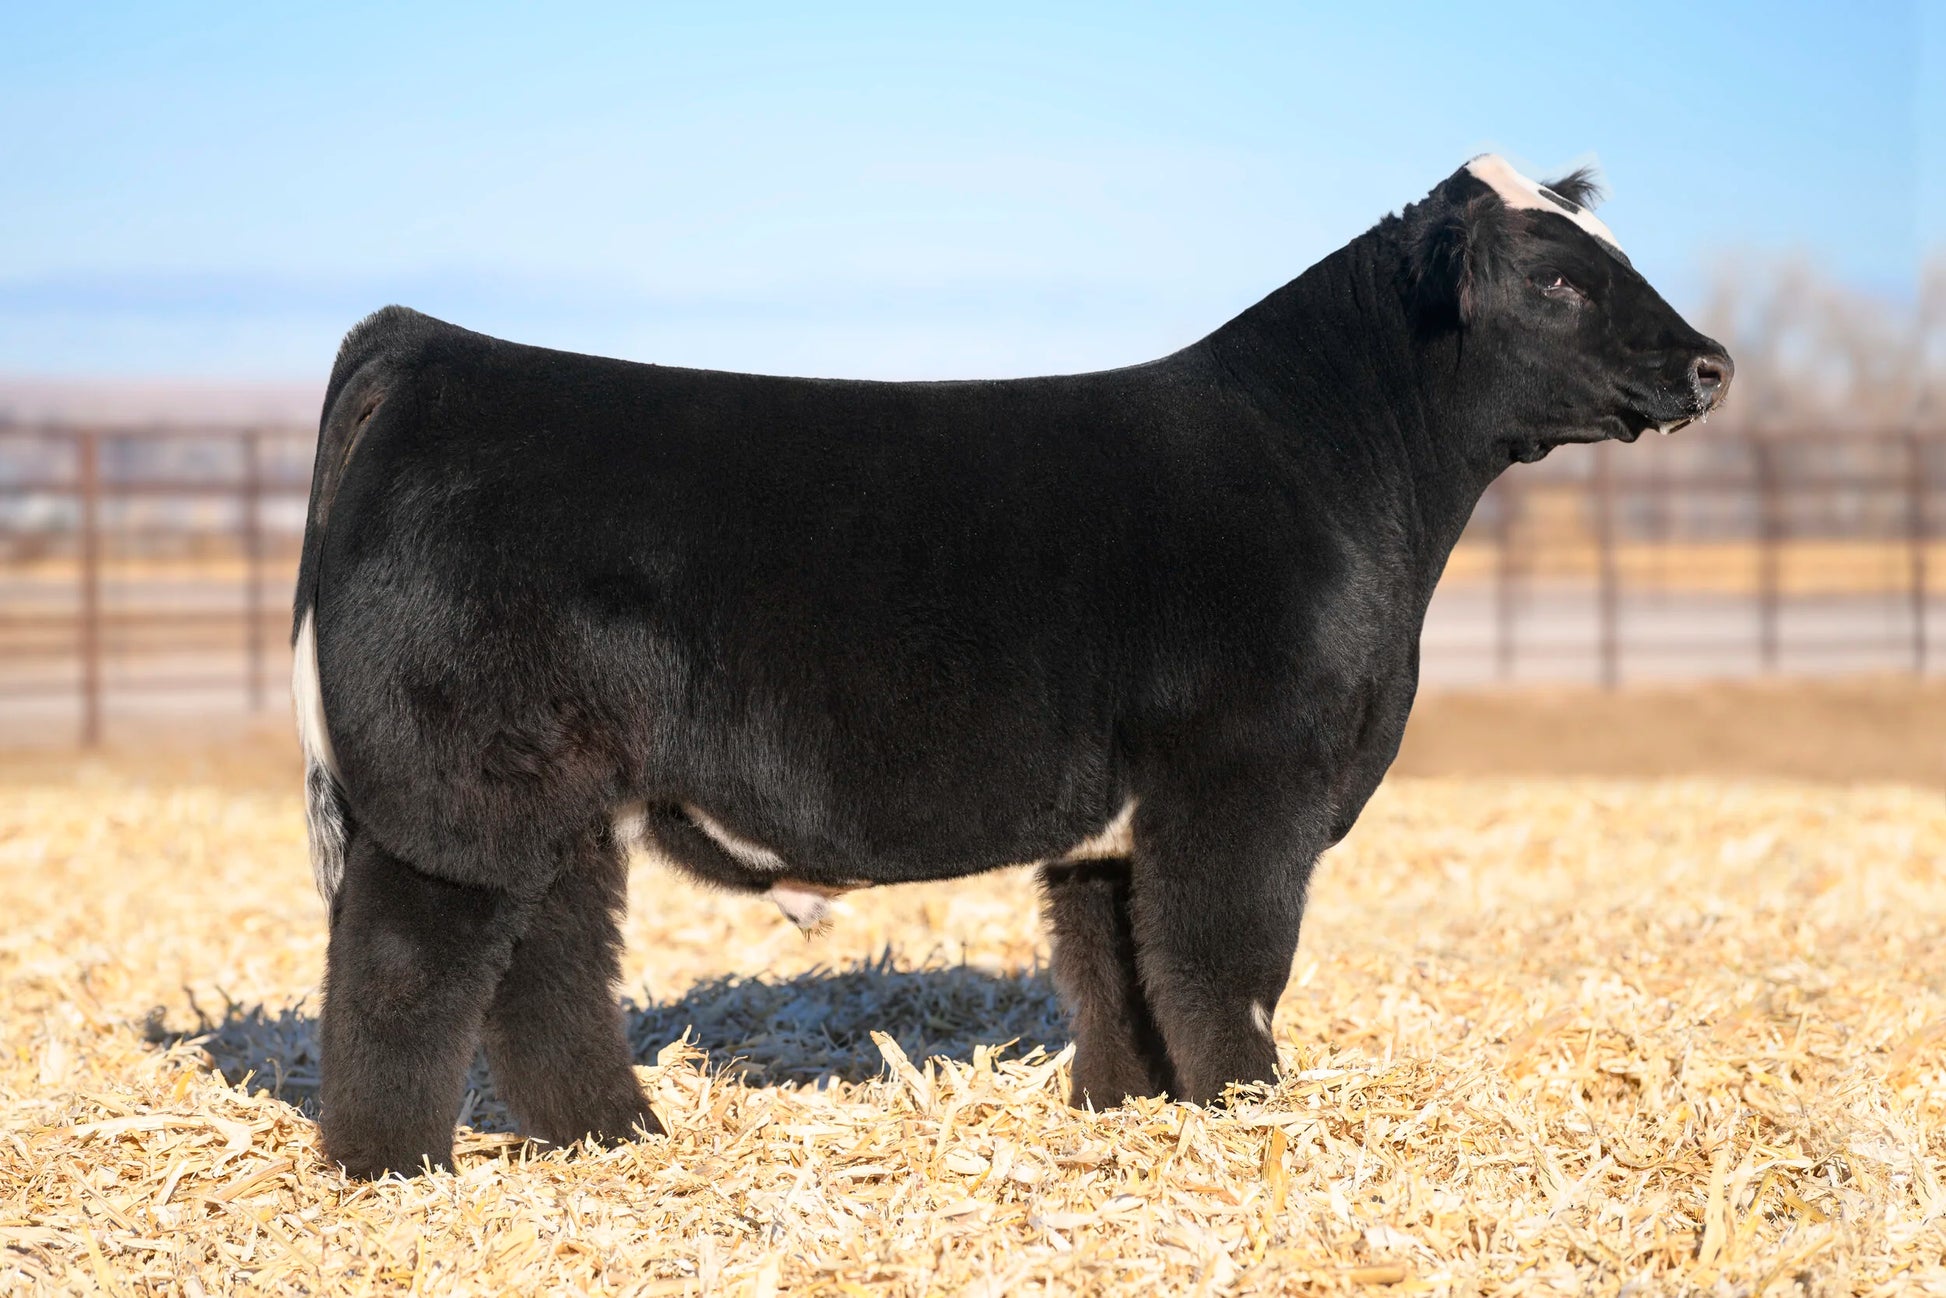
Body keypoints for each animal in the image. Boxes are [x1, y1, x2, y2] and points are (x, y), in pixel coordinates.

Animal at [292, 156, 1731, 1179]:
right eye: (1555, 282)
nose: (1709, 362)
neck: (1337, 470)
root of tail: (431, 348)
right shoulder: (1245, 780)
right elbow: (1225, 957)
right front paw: (1249, 1109)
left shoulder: (1122, 818)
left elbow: (1119, 964)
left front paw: (1132, 1109)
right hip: (459, 788)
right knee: (405, 966)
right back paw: (397, 1165)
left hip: (562, 799)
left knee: (545, 963)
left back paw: (608, 1132)